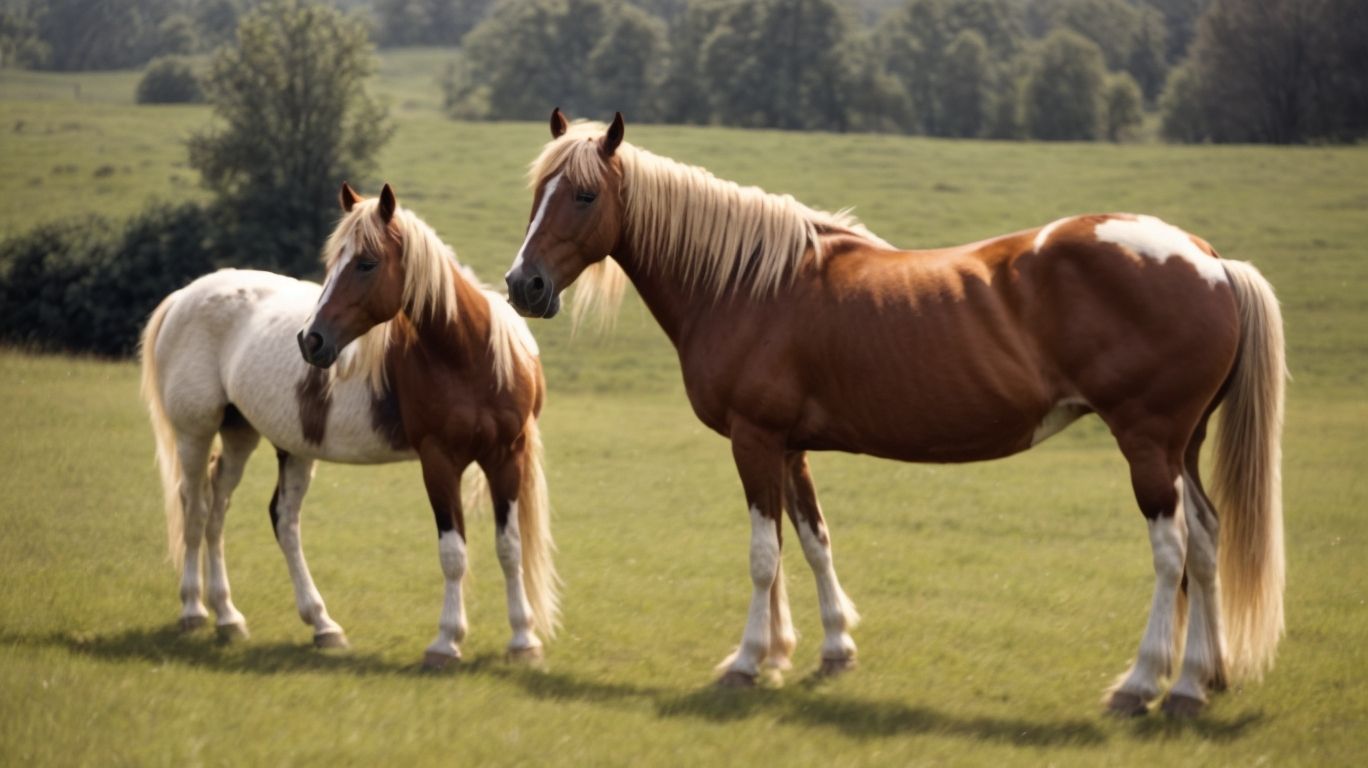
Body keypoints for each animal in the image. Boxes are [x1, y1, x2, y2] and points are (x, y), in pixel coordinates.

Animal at [140, 182, 558, 667]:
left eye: (366, 263)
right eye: (331, 262)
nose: (311, 340)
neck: (470, 355)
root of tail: (183, 296)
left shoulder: (507, 455)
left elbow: (509, 548)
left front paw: (523, 639)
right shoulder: (438, 462)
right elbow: (453, 553)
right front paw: (446, 641)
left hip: (248, 436)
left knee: (253, 516)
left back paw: (269, 620)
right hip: (196, 432)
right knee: (195, 508)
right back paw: (194, 610)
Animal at [503, 110, 1286, 716]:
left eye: (582, 195)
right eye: (536, 191)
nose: (523, 285)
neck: (747, 284)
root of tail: (1208, 259)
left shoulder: (754, 441)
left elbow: (763, 555)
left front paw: (750, 661)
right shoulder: (789, 448)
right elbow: (812, 541)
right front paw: (825, 650)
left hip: (1148, 445)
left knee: (1173, 551)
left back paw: (1143, 682)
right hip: (1183, 448)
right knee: (1207, 542)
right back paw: (1196, 682)